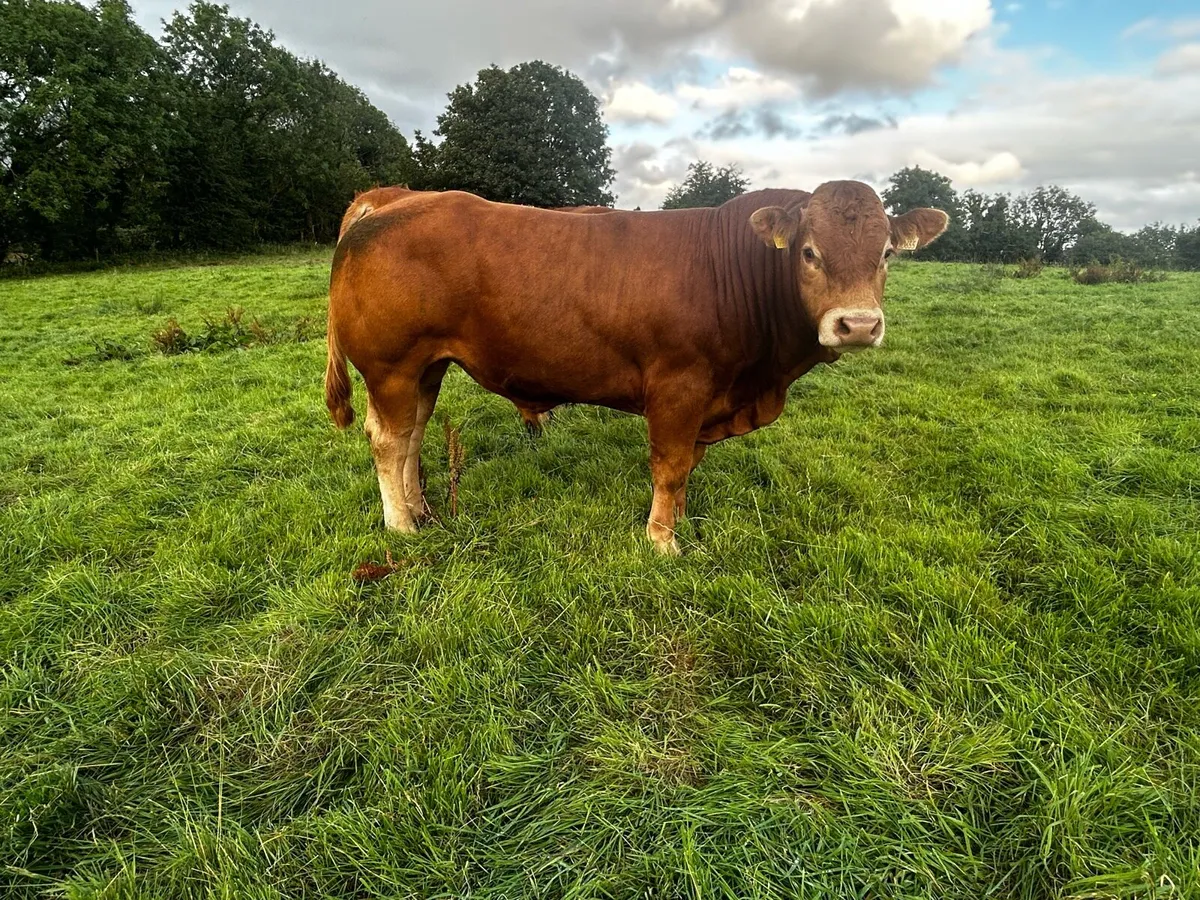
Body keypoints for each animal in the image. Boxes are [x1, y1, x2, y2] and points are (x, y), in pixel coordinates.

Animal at [326, 181, 947, 554]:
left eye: (887, 253)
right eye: (809, 252)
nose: (858, 325)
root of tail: (392, 199)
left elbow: (688, 468)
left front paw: (681, 521)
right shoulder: (679, 387)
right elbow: (670, 467)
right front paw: (662, 541)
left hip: (425, 367)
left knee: (413, 434)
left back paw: (421, 508)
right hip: (391, 365)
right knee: (387, 439)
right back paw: (401, 524)